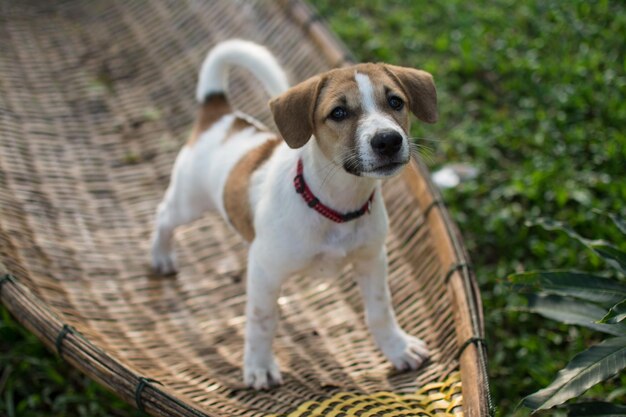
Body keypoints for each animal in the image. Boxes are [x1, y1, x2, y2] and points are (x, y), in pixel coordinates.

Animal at [150, 40, 434, 388]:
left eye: (395, 102)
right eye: (338, 113)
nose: (388, 140)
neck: (335, 205)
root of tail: (221, 116)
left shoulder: (372, 259)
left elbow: (380, 310)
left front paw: (397, 348)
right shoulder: (265, 271)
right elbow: (262, 320)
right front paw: (259, 366)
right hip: (188, 202)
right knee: (164, 215)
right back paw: (161, 255)